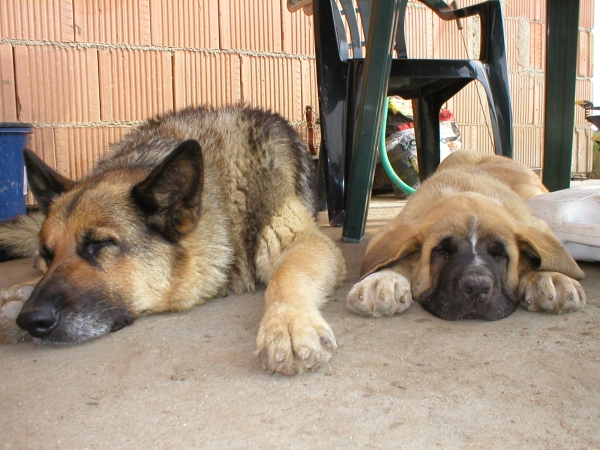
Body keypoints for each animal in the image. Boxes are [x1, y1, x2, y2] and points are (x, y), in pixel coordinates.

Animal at [0, 103, 344, 374]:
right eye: (50, 253)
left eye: (99, 244)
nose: (30, 319)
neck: (225, 196)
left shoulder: (303, 240)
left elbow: (287, 276)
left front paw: (288, 324)